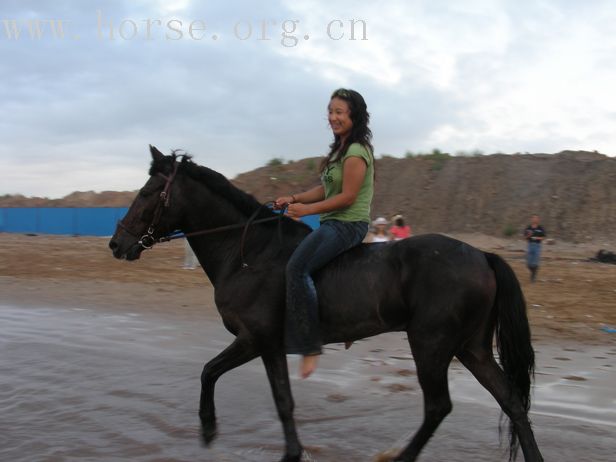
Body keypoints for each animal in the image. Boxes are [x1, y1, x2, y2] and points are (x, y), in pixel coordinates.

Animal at [108, 146, 540, 460]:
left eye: (147, 192)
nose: (116, 243)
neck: (249, 251)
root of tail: (482, 255)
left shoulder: (258, 340)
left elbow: (265, 393)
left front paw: (221, 431)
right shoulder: (259, 343)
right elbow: (212, 373)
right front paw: (211, 428)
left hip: (431, 345)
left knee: (438, 407)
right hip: (471, 348)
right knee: (512, 402)